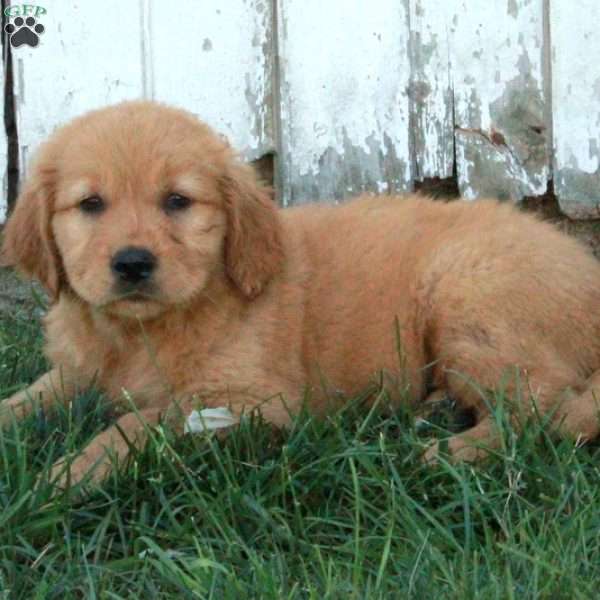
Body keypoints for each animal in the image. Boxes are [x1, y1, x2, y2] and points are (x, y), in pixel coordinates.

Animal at [1, 102, 600, 488]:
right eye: (90, 204)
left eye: (177, 201)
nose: (131, 263)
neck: (137, 331)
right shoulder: (76, 372)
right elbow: (28, 398)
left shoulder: (256, 399)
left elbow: (138, 421)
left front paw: (67, 475)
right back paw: (438, 409)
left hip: (468, 296)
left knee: (546, 408)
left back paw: (447, 452)